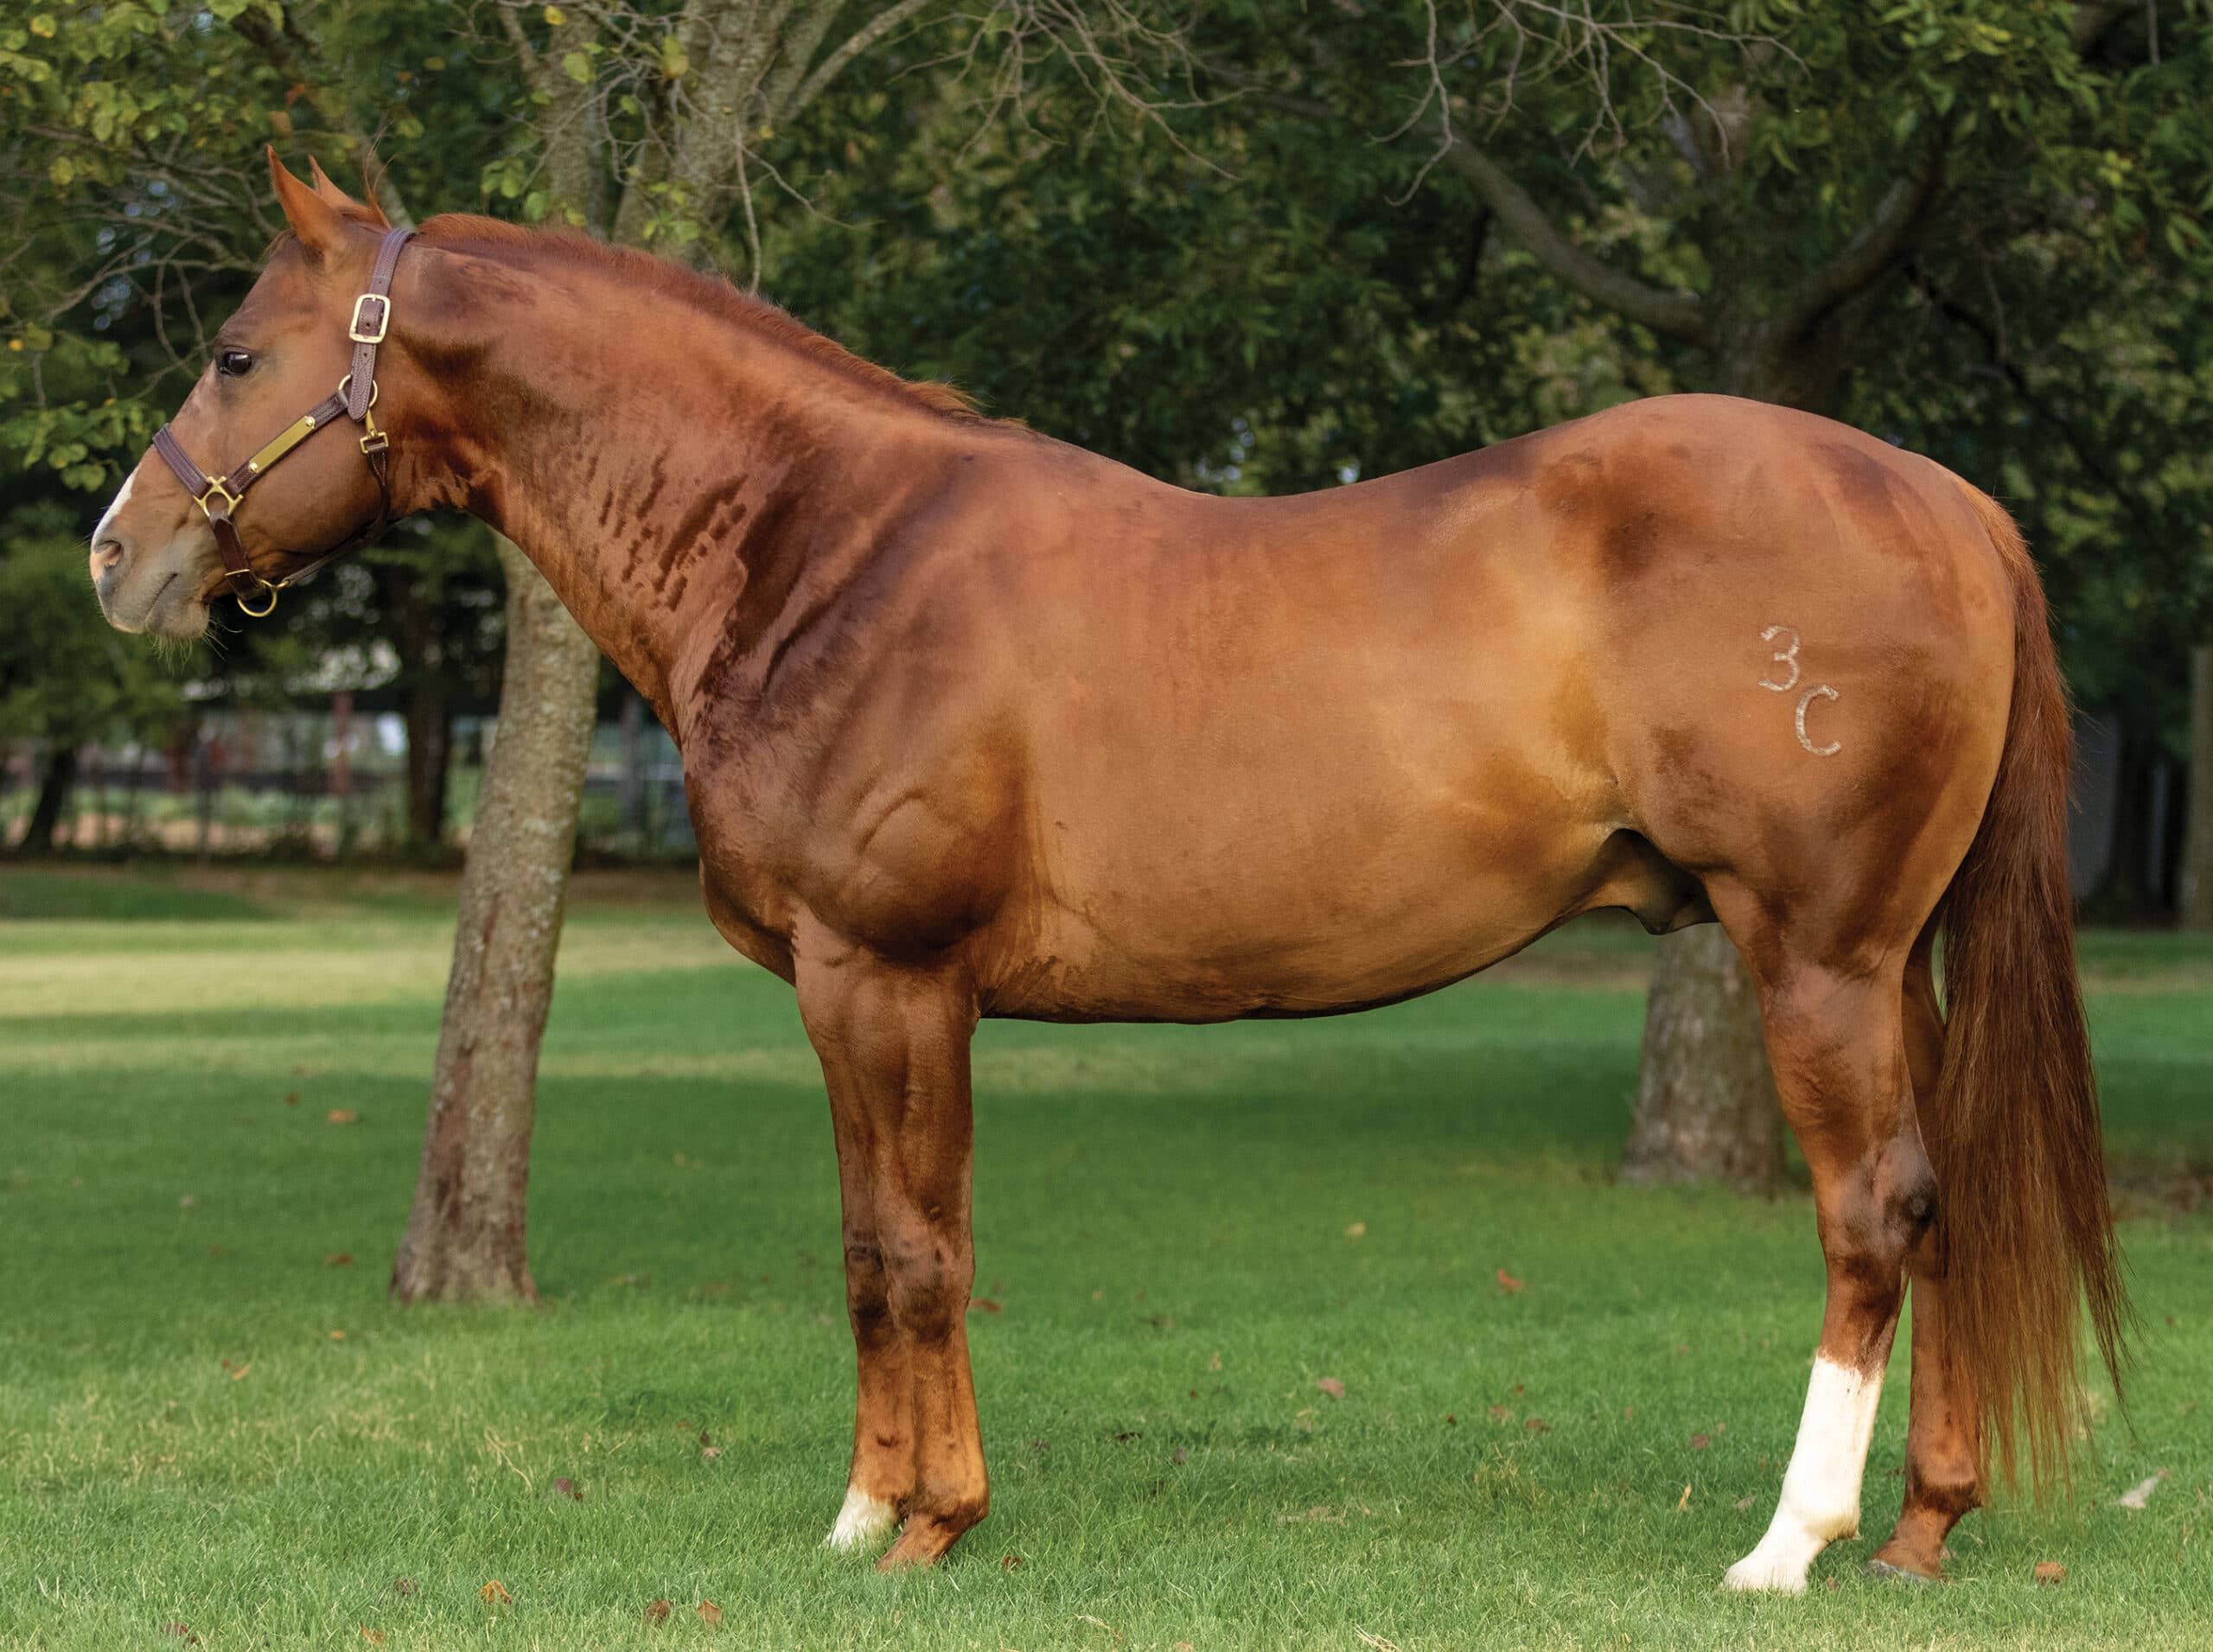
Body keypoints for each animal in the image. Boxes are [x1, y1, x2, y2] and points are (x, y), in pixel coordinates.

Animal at [88, 152, 2122, 1589]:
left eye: (236, 353)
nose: (117, 554)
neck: (821, 548)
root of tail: (1946, 500)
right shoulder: (852, 990)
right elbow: (869, 1244)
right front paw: (858, 1519)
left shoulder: (890, 973)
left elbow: (920, 1251)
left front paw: (933, 1524)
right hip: (1893, 965)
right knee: (1937, 1207)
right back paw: (1924, 1524)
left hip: (1815, 956)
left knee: (1869, 1215)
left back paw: (1789, 1545)